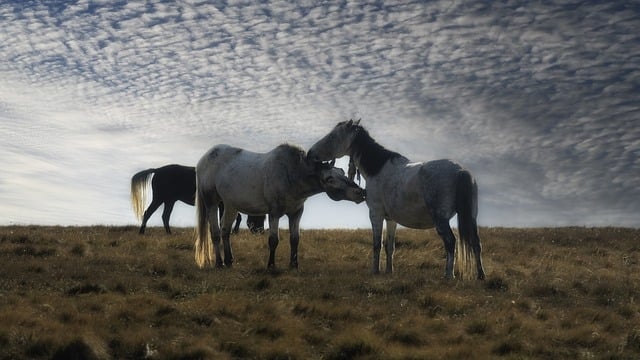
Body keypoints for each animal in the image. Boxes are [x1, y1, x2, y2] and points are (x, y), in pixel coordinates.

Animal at [131, 165, 264, 235]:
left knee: (165, 216)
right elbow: (233, 217)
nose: (260, 231)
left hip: (170, 200)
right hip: (159, 198)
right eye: (261, 216)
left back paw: (169, 233)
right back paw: (142, 232)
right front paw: (233, 231)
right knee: (148, 212)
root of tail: (157, 170)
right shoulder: (223, 204)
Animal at [194, 143, 364, 270]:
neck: (291, 174)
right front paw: (271, 265)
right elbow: (273, 240)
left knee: (225, 231)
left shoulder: (296, 212)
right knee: (215, 233)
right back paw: (219, 263)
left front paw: (294, 265)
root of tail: (203, 159)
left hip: (231, 206)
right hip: (212, 203)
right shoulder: (274, 213)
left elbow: (295, 239)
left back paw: (229, 261)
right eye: (329, 179)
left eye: (342, 172)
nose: (360, 192)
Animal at [308, 119, 484, 280]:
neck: (377, 169)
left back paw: (448, 275)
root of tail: (460, 170)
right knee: (476, 243)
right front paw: (389, 271)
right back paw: (481, 275)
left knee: (450, 242)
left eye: (332, 136)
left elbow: (377, 244)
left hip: (441, 219)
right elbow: (389, 246)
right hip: (471, 217)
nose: (310, 154)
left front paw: (375, 271)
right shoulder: (390, 219)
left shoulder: (376, 214)